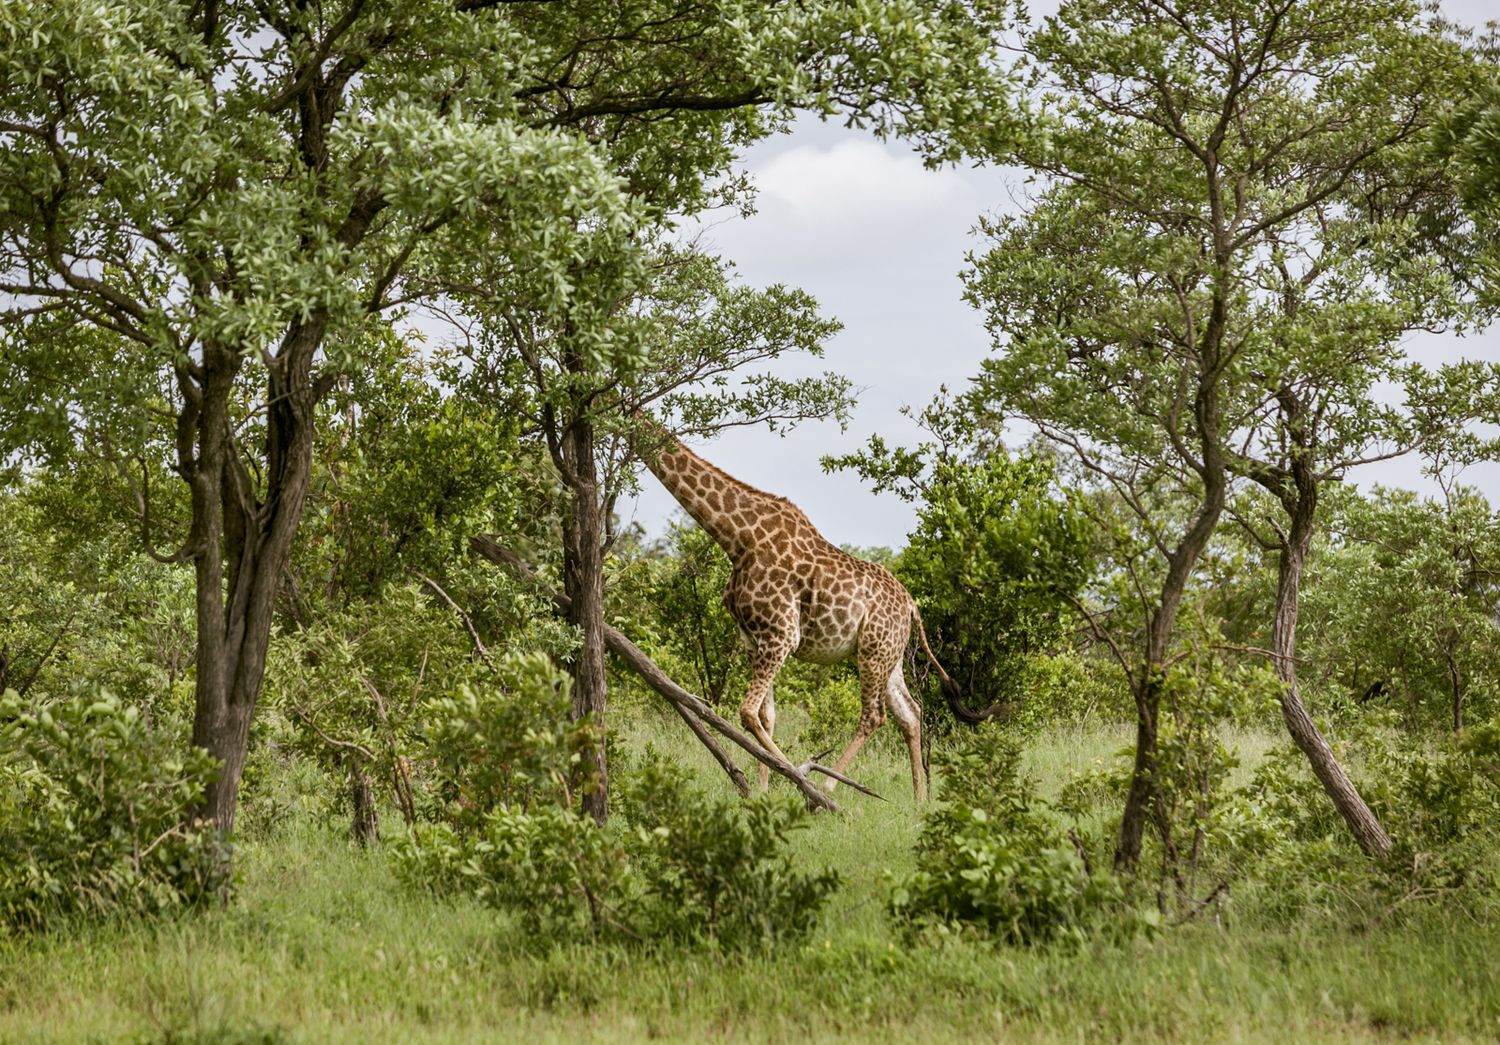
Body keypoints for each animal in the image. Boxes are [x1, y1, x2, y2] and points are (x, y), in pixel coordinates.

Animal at [640, 430, 996, 801]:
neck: (739, 539)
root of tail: (912, 605)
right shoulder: (754, 639)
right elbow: (765, 716)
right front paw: (764, 792)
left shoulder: (782, 634)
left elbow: (748, 712)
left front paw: (799, 779)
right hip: (889, 654)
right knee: (910, 713)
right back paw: (919, 799)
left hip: (873, 654)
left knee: (874, 716)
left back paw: (828, 787)